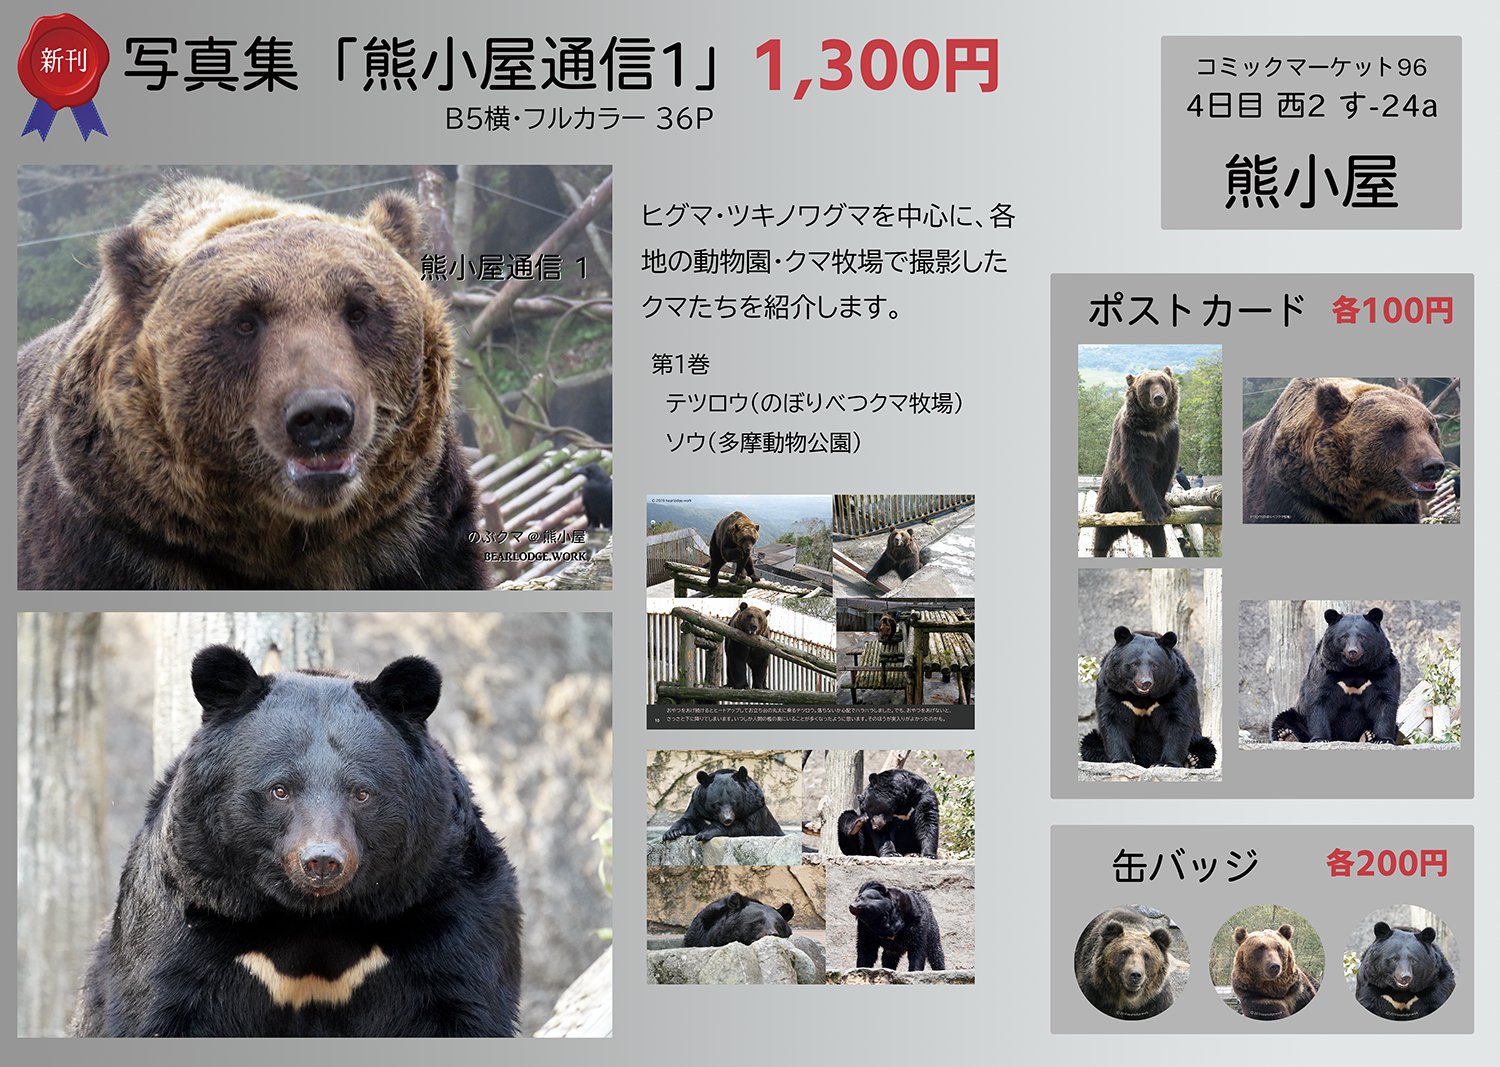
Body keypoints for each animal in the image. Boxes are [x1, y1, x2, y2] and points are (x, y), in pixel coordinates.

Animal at [70, 645, 522, 1037]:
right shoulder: (193, 903)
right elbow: (155, 1005)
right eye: (280, 790)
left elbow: (467, 999)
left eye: (362, 793)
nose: (322, 860)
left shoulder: (440, 898)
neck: (312, 915)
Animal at [1079, 627, 1218, 769]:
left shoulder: (1178, 687)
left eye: (1155, 665)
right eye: (1134, 664)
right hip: (1094, 737)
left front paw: (1166, 763)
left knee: (1206, 747)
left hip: (1198, 738)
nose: (1146, 682)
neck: (1142, 696)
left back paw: (1192, 759)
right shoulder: (1111, 688)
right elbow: (1113, 720)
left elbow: (1178, 721)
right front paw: (1122, 760)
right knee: (1090, 742)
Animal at [1092, 367, 1180, 558]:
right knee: (1101, 538)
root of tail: (1130, 527)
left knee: (1159, 542)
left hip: (1150, 530)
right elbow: (1136, 469)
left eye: (1163, 381)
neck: (1153, 425)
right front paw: (1154, 512)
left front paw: (1164, 507)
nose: (1159, 398)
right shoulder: (1134, 433)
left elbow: (1164, 470)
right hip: (1110, 501)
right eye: (1147, 384)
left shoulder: (1169, 435)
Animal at [1270, 608, 1401, 744]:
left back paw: (1367, 736)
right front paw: (1320, 739)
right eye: (1343, 636)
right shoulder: (1325, 669)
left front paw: (1384, 740)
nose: (1352, 652)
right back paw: (1288, 735)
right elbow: (1318, 700)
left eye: (1362, 637)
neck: (1354, 669)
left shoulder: (1383, 668)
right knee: (1284, 720)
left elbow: (1385, 700)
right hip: (1298, 714)